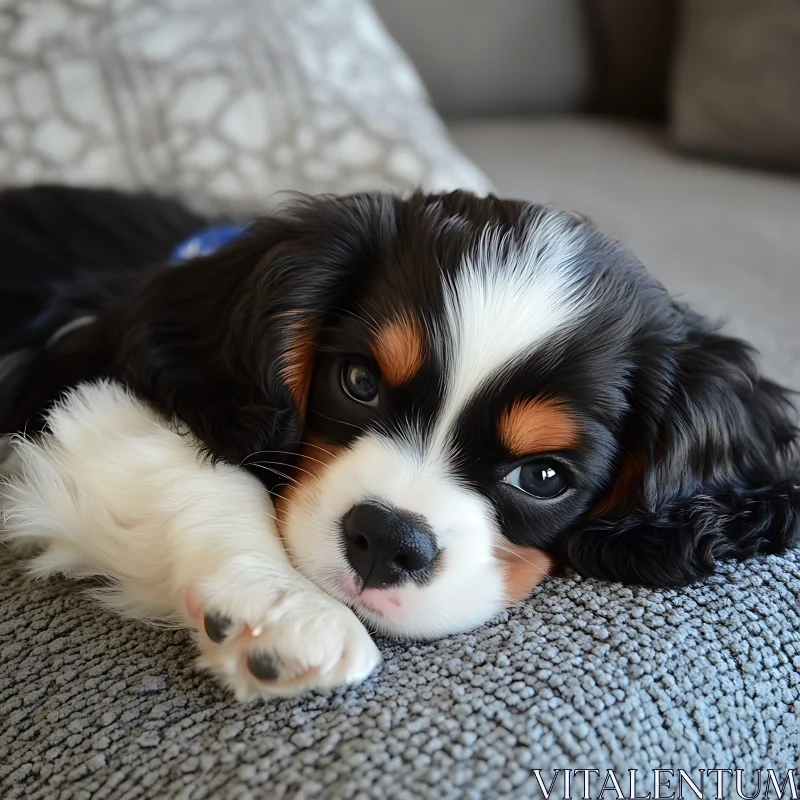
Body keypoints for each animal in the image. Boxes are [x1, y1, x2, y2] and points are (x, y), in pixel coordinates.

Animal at [0, 184, 796, 696]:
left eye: (543, 478)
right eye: (359, 382)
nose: (386, 540)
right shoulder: (76, 383)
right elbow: (205, 472)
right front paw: (285, 605)